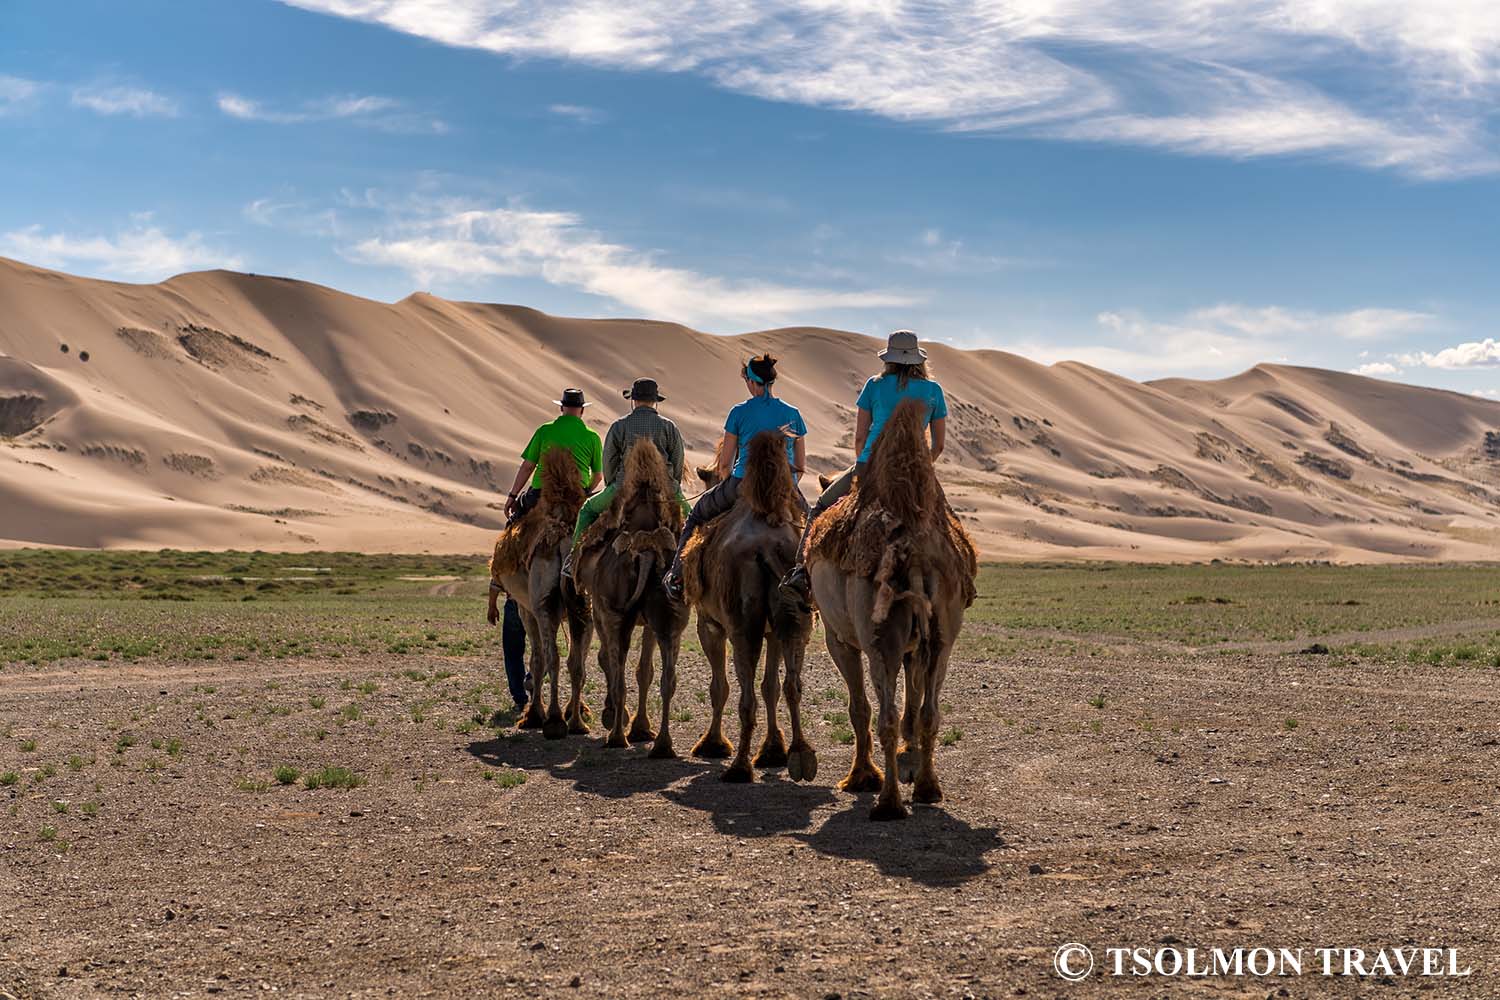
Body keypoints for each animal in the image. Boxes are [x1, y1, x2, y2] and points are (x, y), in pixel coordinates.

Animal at [486, 449, 591, 740]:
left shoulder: (527, 609)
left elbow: (537, 658)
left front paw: (533, 713)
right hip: (586, 605)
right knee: (576, 661)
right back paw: (576, 721)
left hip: (544, 604)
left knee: (551, 656)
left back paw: (553, 720)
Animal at [573, 440, 690, 755]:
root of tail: (646, 549)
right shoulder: (650, 622)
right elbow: (645, 671)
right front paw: (641, 728)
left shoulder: (602, 611)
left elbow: (610, 661)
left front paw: (619, 718)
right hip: (671, 617)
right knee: (668, 677)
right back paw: (662, 745)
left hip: (615, 615)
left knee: (618, 667)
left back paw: (616, 736)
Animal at [684, 431, 816, 779]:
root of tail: (768, 545)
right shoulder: (773, 629)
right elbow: (771, 686)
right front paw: (773, 750)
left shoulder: (709, 624)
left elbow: (719, 687)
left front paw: (712, 744)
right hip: (794, 615)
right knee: (792, 683)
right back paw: (801, 754)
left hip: (742, 623)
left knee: (745, 694)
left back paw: (739, 767)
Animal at [804, 398, 978, 821]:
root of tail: (915, 555)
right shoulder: (917, 645)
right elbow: (913, 705)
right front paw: (909, 760)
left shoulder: (839, 639)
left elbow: (859, 708)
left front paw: (862, 776)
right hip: (943, 630)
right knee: (930, 709)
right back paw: (928, 788)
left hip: (877, 637)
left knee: (884, 715)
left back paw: (887, 803)